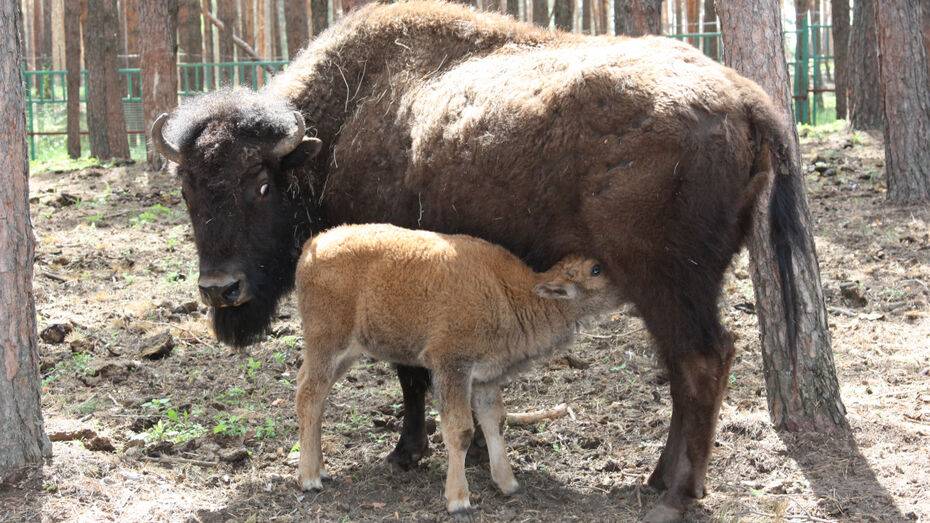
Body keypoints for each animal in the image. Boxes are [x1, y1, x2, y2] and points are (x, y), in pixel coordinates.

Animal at [294, 223, 620, 512]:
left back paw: (320, 469)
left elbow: (494, 421)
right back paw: (309, 480)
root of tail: (311, 246)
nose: (622, 284)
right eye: (595, 270)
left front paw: (508, 484)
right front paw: (459, 501)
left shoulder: (485, 378)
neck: (508, 291)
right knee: (309, 396)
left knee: (314, 394)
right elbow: (460, 430)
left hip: (346, 354)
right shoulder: (452, 368)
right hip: (328, 344)